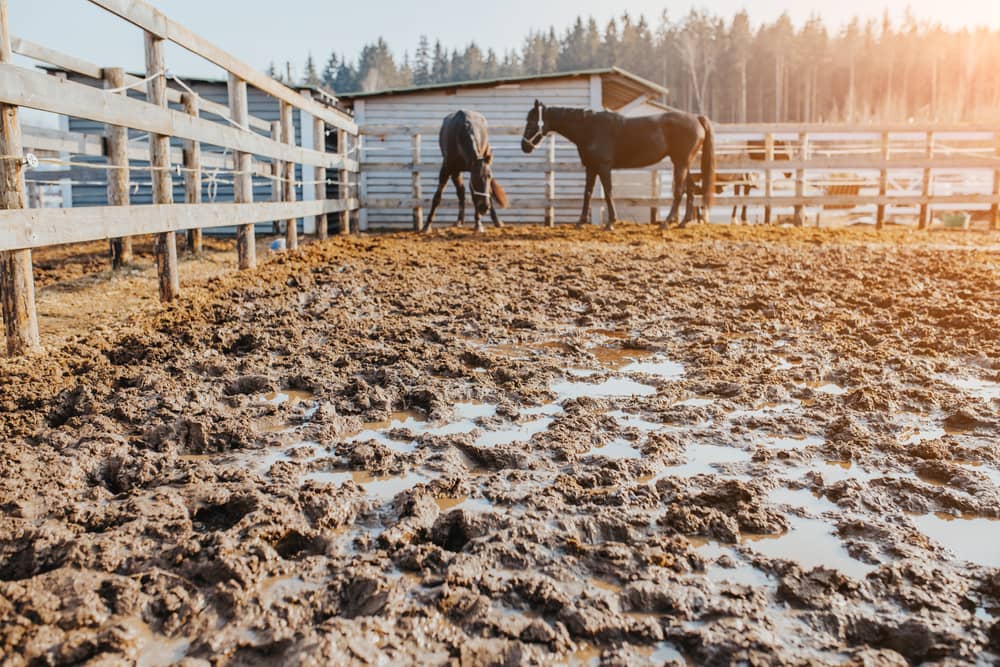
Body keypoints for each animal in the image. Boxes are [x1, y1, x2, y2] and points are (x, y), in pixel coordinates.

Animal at [520, 100, 715, 229]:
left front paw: (611, 222)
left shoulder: (604, 167)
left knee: (679, 191)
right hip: (684, 163)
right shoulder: (591, 167)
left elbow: (608, 192)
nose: (524, 146)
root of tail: (697, 118)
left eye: (531, 121)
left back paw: (666, 223)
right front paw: (580, 222)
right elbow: (587, 193)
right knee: (691, 189)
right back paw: (683, 222)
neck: (590, 128)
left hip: (680, 162)